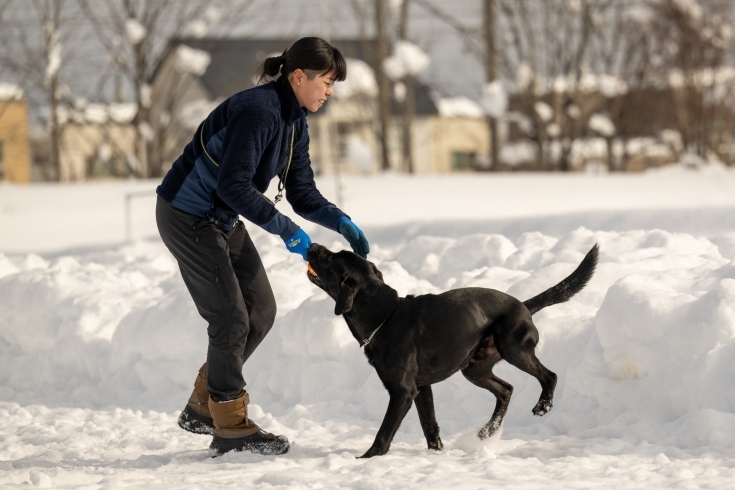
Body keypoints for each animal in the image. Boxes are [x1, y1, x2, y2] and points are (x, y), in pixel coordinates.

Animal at [304, 243, 600, 458]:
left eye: (331, 260)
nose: (314, 246)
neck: (384, 317)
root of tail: (524, 306)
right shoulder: (421, 388)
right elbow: (430, 425)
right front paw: (436, 454)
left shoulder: (403, 391)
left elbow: (385, 431)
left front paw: (367, 459)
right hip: (474, 368)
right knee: (506, 390)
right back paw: (487, 433)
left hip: (513, 348)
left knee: (549, 375)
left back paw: (542, 406)